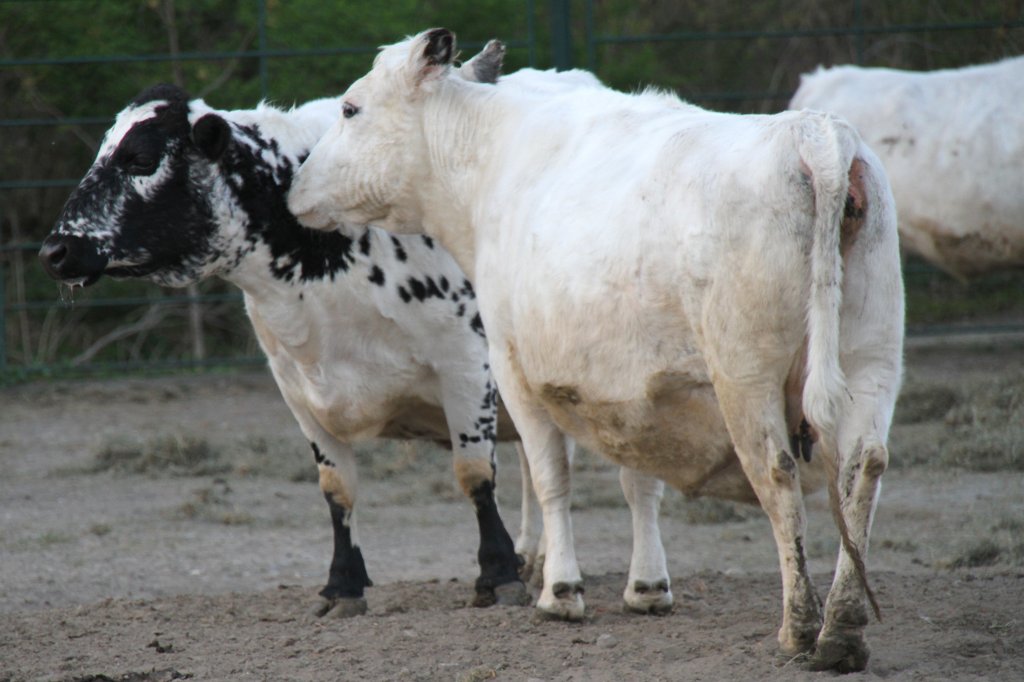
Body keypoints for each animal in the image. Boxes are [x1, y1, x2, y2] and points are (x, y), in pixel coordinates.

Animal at [288, 27, 905, 667]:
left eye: (350, 109)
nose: (295, 185)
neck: (490, 160)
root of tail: (811, 135)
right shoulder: (627, 384)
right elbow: (638, 478)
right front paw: (647, 588)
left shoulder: (513, 366)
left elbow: (549, 477)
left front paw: (560, 592)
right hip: (873, 357)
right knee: (864, 467)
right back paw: (843, 629)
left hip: (745, 371)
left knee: (777, 474)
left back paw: (800, 627)